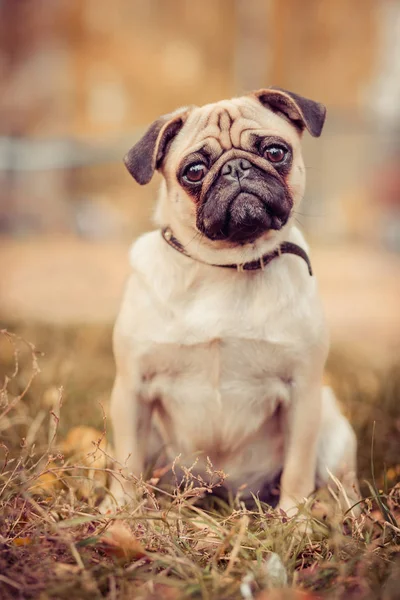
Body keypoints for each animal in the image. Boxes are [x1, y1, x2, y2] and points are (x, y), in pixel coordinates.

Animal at [103, 88, 360, 516]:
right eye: (193, 171)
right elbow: (127, 463)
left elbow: (298, 468)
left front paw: (295, 518)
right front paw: (118, 510)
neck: (226, 266)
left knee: (341, 481)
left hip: (333, 430)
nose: (237, 168)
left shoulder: (303, 393)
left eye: (275, 151)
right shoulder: (132, 389)